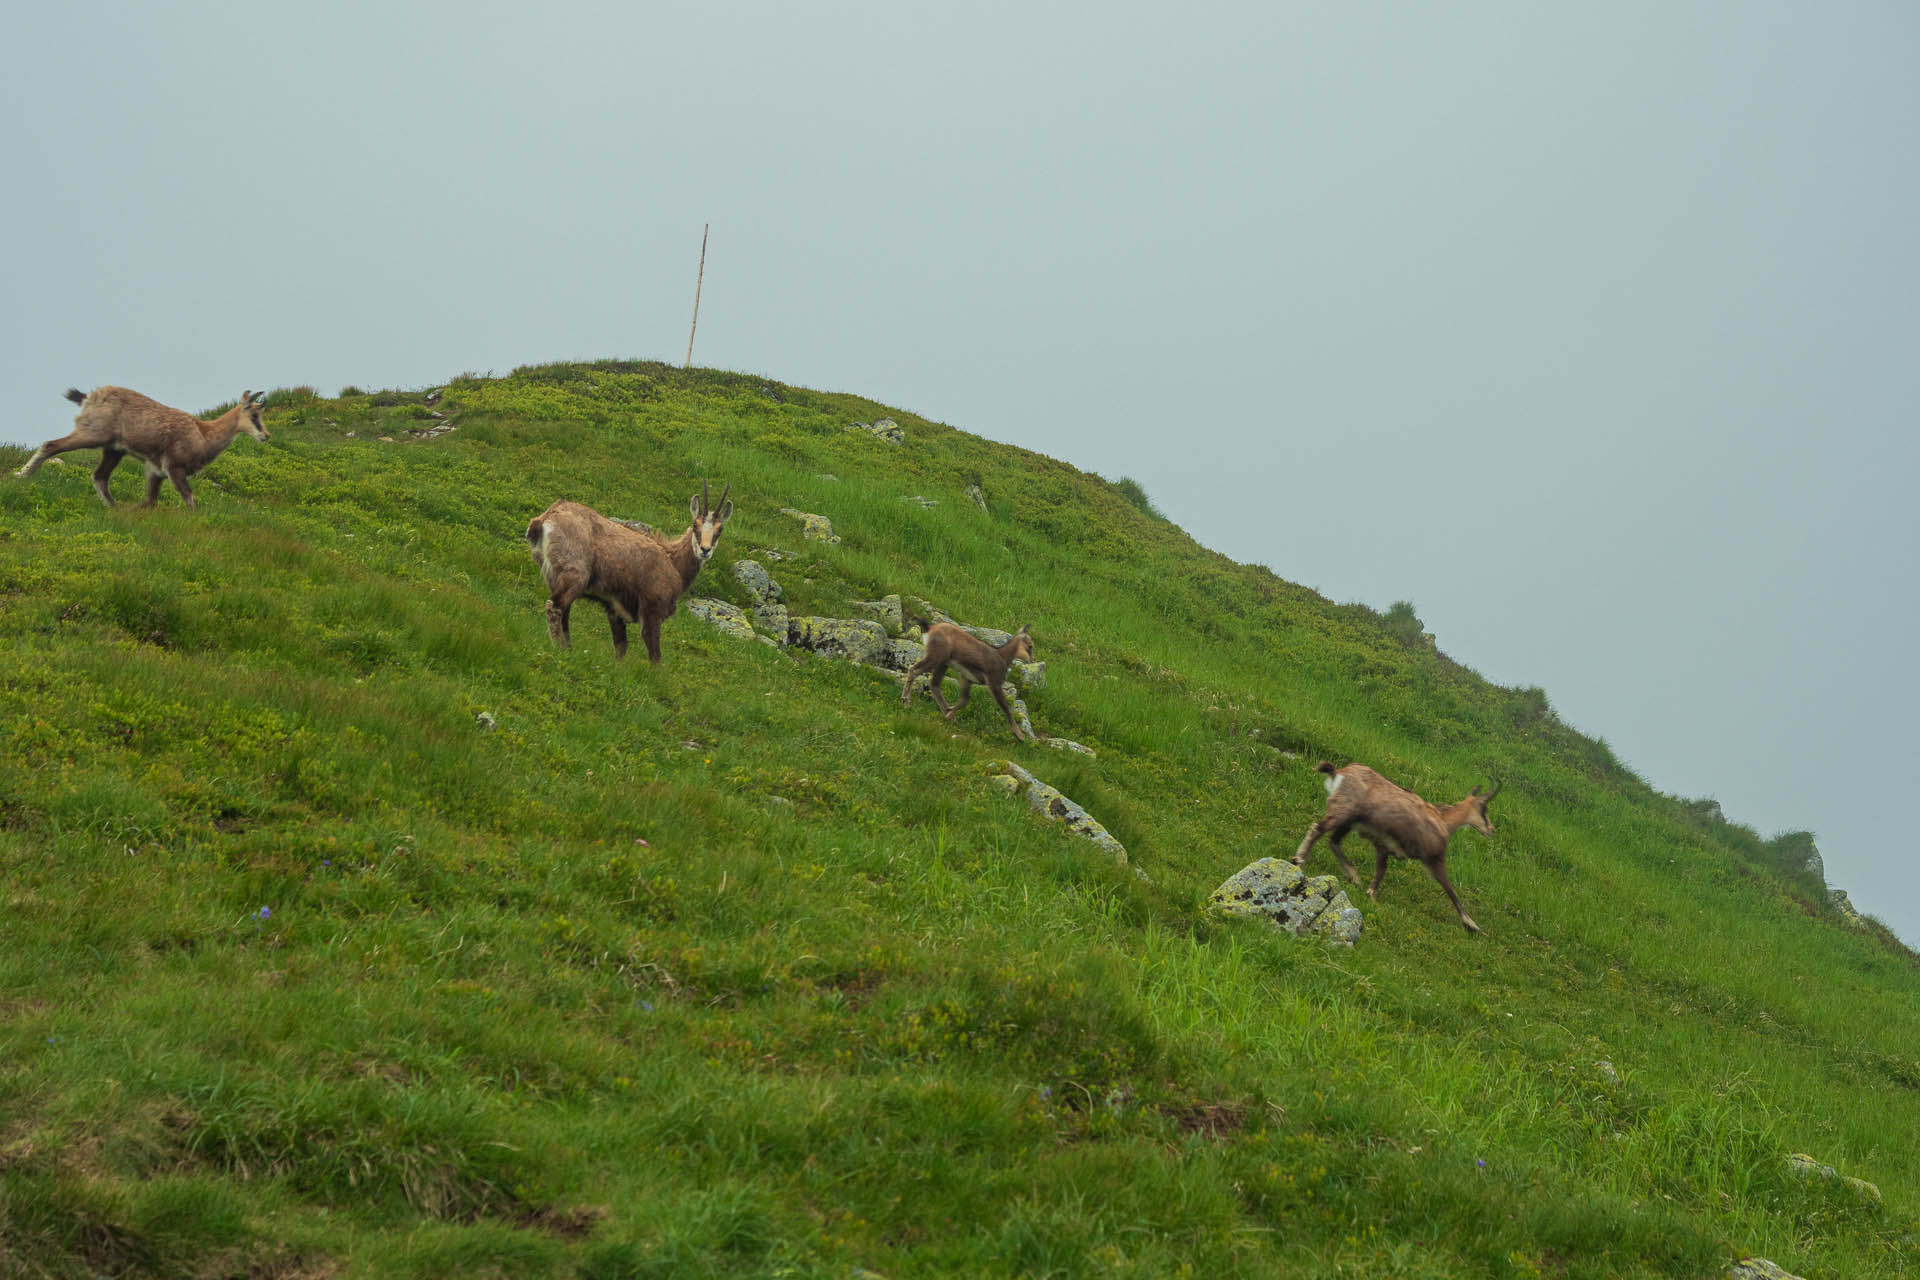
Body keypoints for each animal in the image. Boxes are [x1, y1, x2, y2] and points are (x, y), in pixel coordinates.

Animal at [15, 385, 270, 510]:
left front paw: (134, 509)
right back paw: (22, 475)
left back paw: (113, 507)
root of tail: (89, 397)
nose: (265, 435)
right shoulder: (174, 469)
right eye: (254, 414)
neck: (203, 434)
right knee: (51, 445)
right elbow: (190, 499)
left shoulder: (155, 471)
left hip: (113, 450)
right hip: (92, 435)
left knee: (99, 476)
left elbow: (150, 501)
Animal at [529, 485, 729, 667]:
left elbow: (621, 647)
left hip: (556, 577)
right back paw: (560, 649)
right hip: (575, 575)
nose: (705, 550)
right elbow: (654, 654)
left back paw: (569, 649)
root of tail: (546, 518)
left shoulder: (615, 609)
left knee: (564, 612)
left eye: (720, 530)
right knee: (555, 607)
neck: (673, 562)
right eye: (696, 525)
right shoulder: (652, 609)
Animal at [902, 617, 1036, 740]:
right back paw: (906, 701)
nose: (1032, 660)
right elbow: (1006, 707)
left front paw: (949, 713)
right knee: (914, 670)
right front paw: (1019, 736)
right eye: (1030, 646)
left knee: (934, 684)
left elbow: (965, 700)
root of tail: (930, 628)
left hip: (943, 663)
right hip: (935, 657)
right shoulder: (994, 684)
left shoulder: (967, 679)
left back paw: (946, 711)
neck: (1002, 657)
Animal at [1290, 759, 1497, 932]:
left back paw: (1353, 876)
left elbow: (1381, 870)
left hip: (1348, 822)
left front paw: (1370, 893)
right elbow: (1449, 887)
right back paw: (1299, 859)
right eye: (1484, 808)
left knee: (1333, 841)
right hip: (1342, 812)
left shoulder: (1383, 846)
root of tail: (1340, 772)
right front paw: (1471, 923)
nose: (1491, 829)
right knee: (1317, 829)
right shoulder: (1434, 858)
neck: (1443, 820)